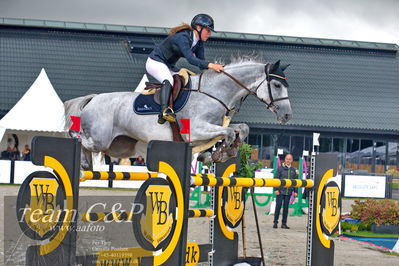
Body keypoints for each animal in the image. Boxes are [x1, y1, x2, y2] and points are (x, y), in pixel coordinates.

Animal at [64, 59, 292, 169]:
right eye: (277, 85)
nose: (287, 116)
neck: (215, 92)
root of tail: (93, 98)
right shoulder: (196, 130)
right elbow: (227, 133)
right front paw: (219, 154)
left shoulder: (216, 125)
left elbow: (241, 128)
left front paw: (222, 153)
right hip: (100, 139)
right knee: (80, 138)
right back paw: (78, 151)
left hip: (121, 146)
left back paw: (85, 164)